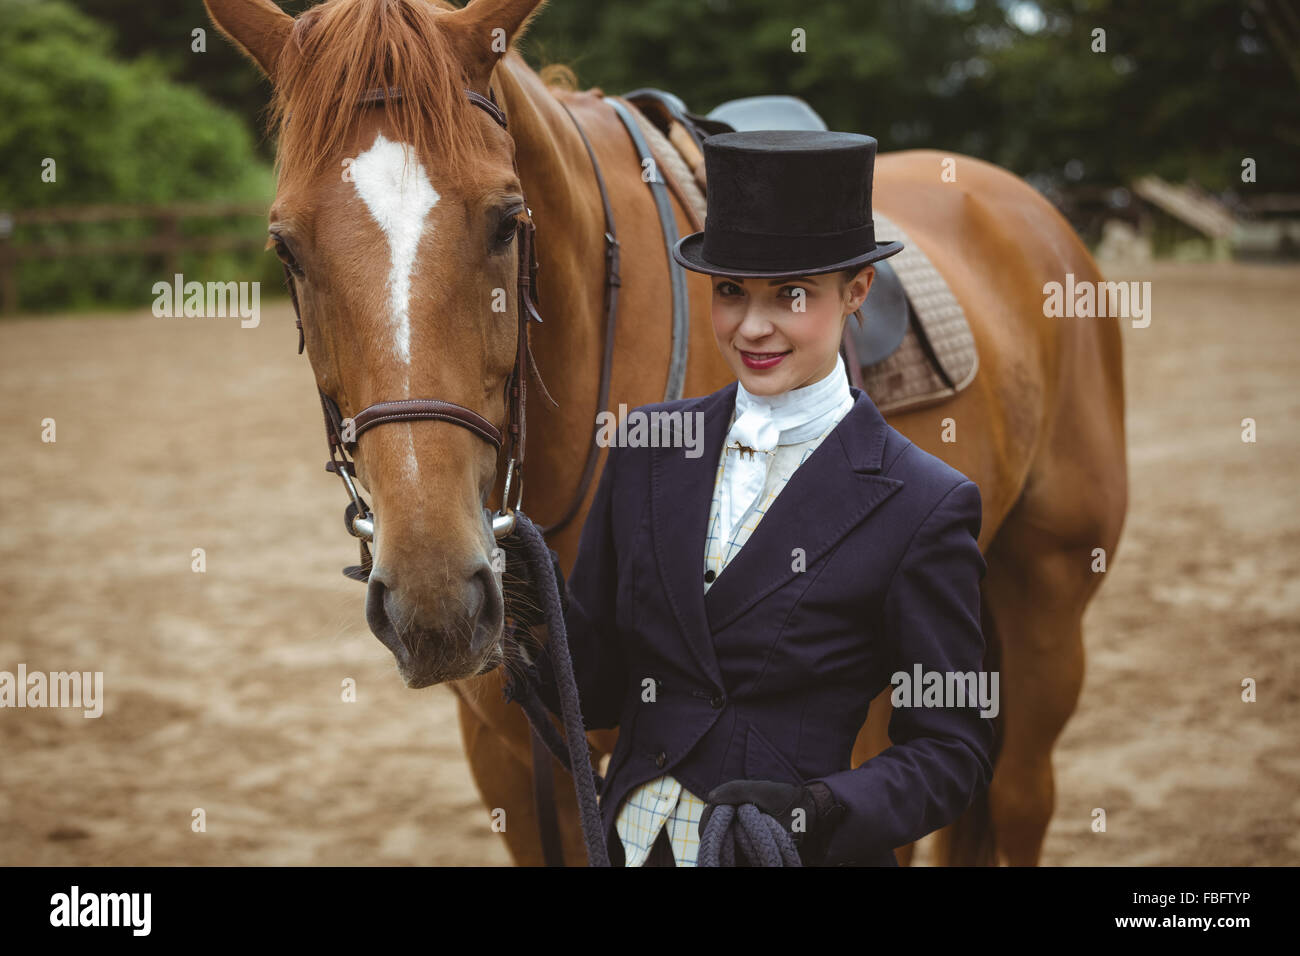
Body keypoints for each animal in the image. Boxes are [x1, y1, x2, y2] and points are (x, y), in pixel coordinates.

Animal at [205, 0, 1128, 868]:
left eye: (507, 220)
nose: (434, 597)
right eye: (286, 249)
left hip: (1045, 611)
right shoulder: (517, 770)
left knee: (1018, 798)